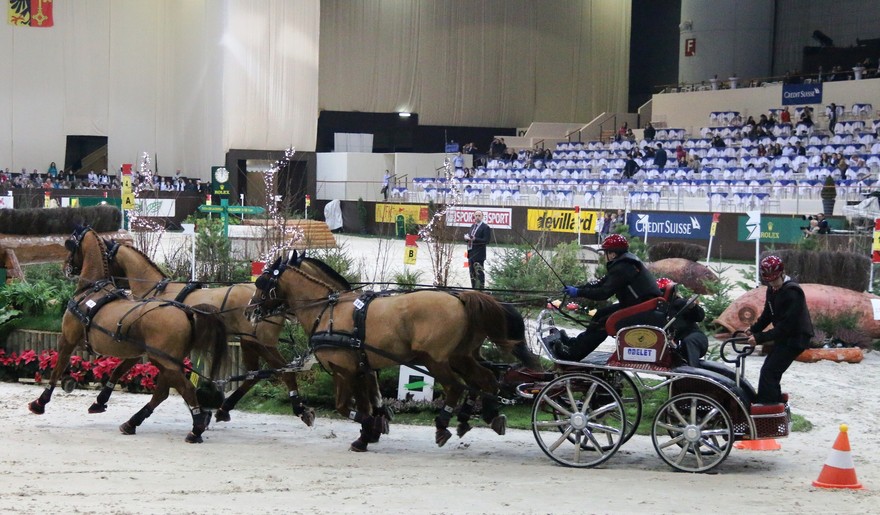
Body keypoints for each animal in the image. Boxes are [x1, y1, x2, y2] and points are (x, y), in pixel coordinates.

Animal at [28, 226, 229, 443]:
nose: (65, 266)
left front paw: (40, 402)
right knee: (164, 392)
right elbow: (111, 370)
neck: (92, 290)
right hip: (165, 361)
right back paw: (135, 423)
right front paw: (97, 400)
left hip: (164, 360)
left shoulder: (68, 339)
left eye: (70, 245)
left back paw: (196, 428)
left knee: (185, 389)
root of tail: (186, 311)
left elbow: (57, 368)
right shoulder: (134, 352)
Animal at [99, 237, 315, 426]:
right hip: (251, 343)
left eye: (104, 256)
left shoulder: (149, 346)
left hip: (259, 343)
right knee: (258, 373)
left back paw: (297, 408)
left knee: (280, 371)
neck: (157, 291)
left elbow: (125, 369)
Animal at [249, 250, 539, 452]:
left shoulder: (345, 371)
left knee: (456, 386)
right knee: (484, 379)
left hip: (435, 360)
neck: (330, 310)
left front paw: (367, 431)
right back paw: (484, 416)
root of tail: (460, 297)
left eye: (263, 281)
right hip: (462, 356)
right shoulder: (364, 369)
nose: (250, 310)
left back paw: (444, 424)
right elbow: (371, 402)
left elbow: (345, 407)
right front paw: (372, 430)